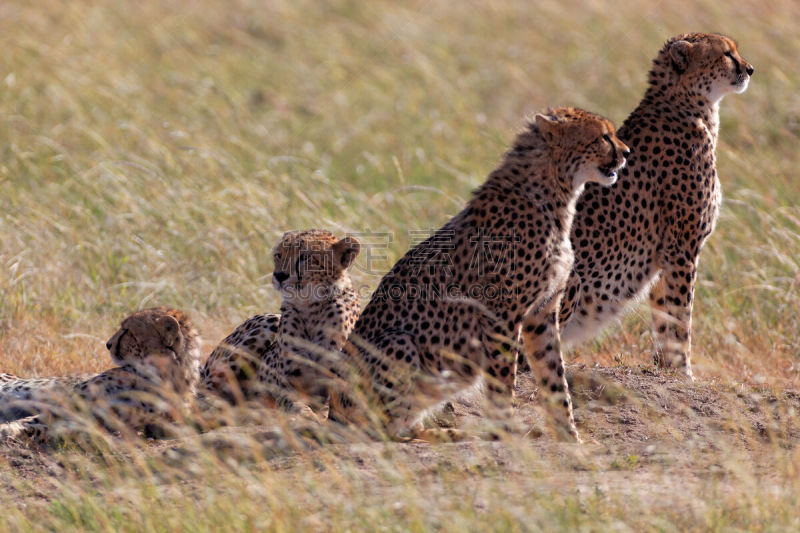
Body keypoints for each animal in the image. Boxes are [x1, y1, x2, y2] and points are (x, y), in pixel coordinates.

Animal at [0, 306, 200, 442]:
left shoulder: (101, 419)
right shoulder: (74, 402)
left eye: (127, 331)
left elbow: (47, 424)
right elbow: (38, 417)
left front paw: (17, 431)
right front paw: (11, 428)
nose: (108, 344)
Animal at [200, 228, 362, 412]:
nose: (279, 275)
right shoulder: (287, 387)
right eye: (279, 255)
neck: (310, 306)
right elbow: (299, 406)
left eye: (305, 257)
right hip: (268, 322)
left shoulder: (333, 388)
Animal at [328, 108, 628, 440]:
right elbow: (503, 380)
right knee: (380, 430)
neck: (555, 193)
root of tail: (331, 413)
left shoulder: (542, 314)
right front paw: (506, 432)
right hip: (399, 343)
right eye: (603, 136)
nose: (626, 153)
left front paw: (570, 437)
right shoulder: (501, 315)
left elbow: (554, 378)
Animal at [552, 32, 752, 378]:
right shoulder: (682, 247)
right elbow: (681, 313)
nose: (750, 69)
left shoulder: (666, 253)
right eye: (727, 54)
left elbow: (663, 314)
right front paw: (684, 371)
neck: (689, 105)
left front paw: (667, 367)